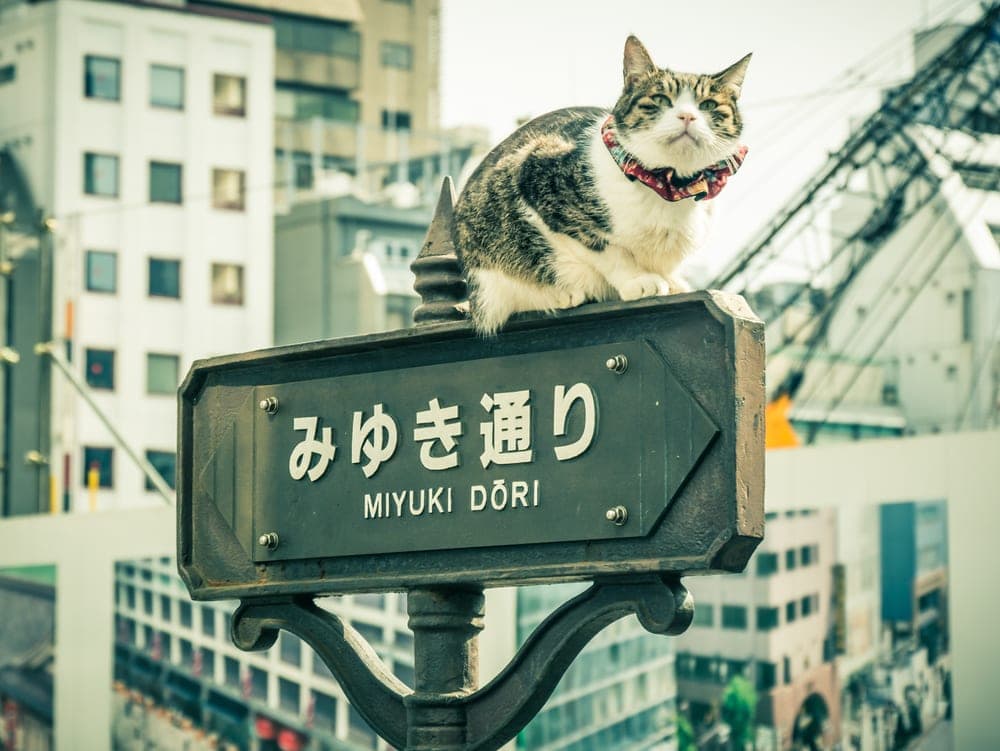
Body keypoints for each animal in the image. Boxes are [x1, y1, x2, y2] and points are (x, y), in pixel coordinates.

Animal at [454, 35, 752, 334]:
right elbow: (604, 249)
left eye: (708, 105)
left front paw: (673, 281)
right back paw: (564, 293)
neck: (670, 186)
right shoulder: (535, 174)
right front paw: (637, 280)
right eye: (660, 99)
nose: (687, 117)